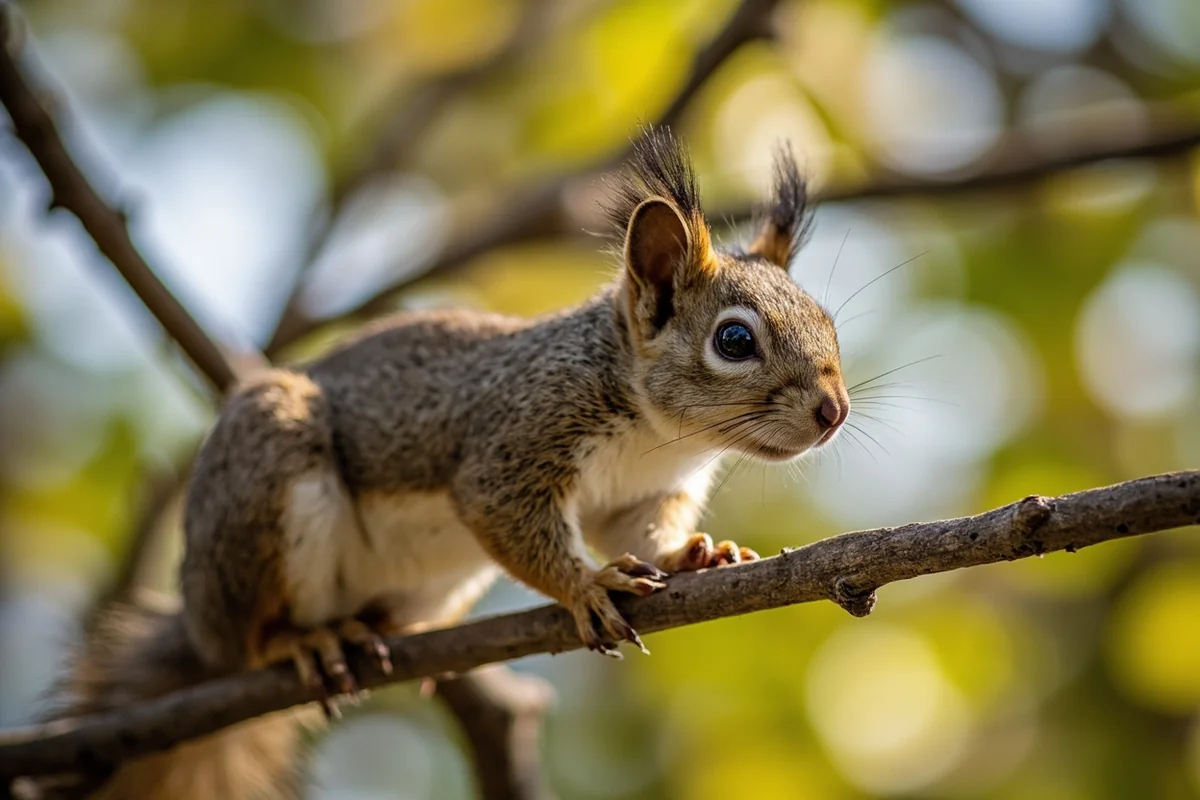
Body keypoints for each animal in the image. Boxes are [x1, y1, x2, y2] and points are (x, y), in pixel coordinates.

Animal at [39, 127, 849, 799]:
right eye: (734, 340)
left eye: (827, 321)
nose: (833, 411)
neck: (660, 435)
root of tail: (200, 625)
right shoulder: (514, 439)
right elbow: (507, 513)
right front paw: (585, 586)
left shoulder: (642, 495)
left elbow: (640, 535)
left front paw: (697, 553)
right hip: (263, 482)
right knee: (253, 640)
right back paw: (306, 639)